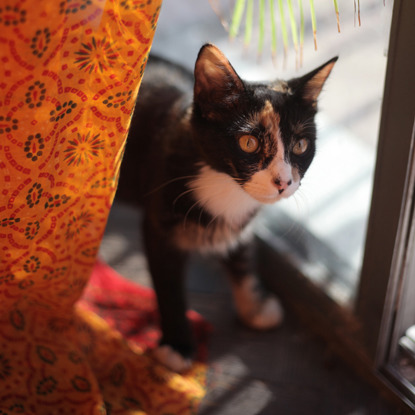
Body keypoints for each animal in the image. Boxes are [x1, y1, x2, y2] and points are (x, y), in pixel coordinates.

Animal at [115, 44, 336, 372]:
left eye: (300, 146)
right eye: (248, 143)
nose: (283, 182)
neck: (225, 182)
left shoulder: (244, 224)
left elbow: (242, 257)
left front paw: (254, 307)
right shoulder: (159, 222)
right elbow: (169, 284)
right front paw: (177, 346)